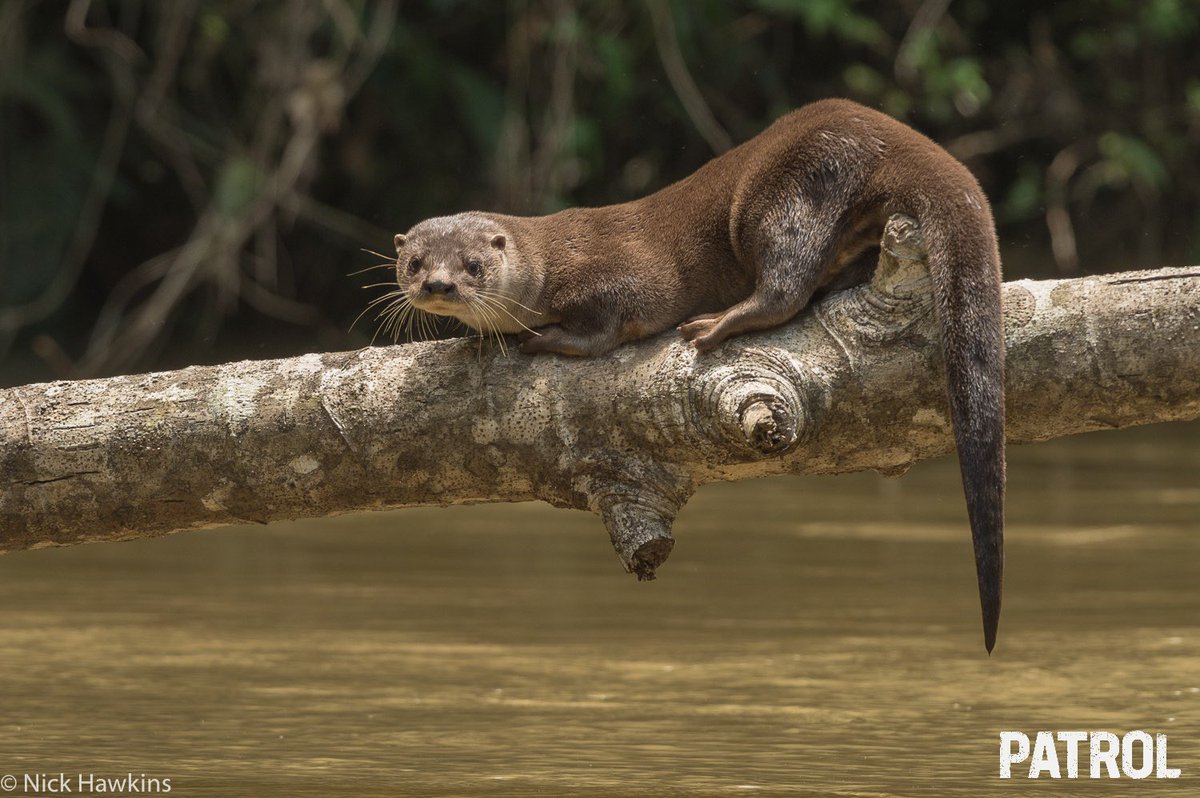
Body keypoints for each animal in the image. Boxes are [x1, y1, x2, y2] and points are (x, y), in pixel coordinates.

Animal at [391, 96, 1003, 652]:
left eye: (473, 264)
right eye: (414, 263)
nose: (439, 285)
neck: (548, 263)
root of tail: (886, 131)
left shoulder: (620, 277)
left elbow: (608, 325)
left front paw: (544, 339)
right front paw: (479, 340)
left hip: (788, 192)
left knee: (785, 281)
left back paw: (716, 324)